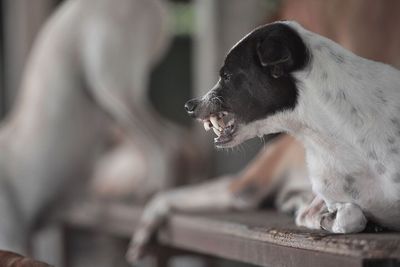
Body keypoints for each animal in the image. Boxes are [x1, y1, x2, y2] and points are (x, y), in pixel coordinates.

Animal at [127, 19, 400, 262]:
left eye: (227, 76)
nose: (189, 106)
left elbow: (349, 214)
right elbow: (349, 214)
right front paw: (326, 218)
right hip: (246, 190)